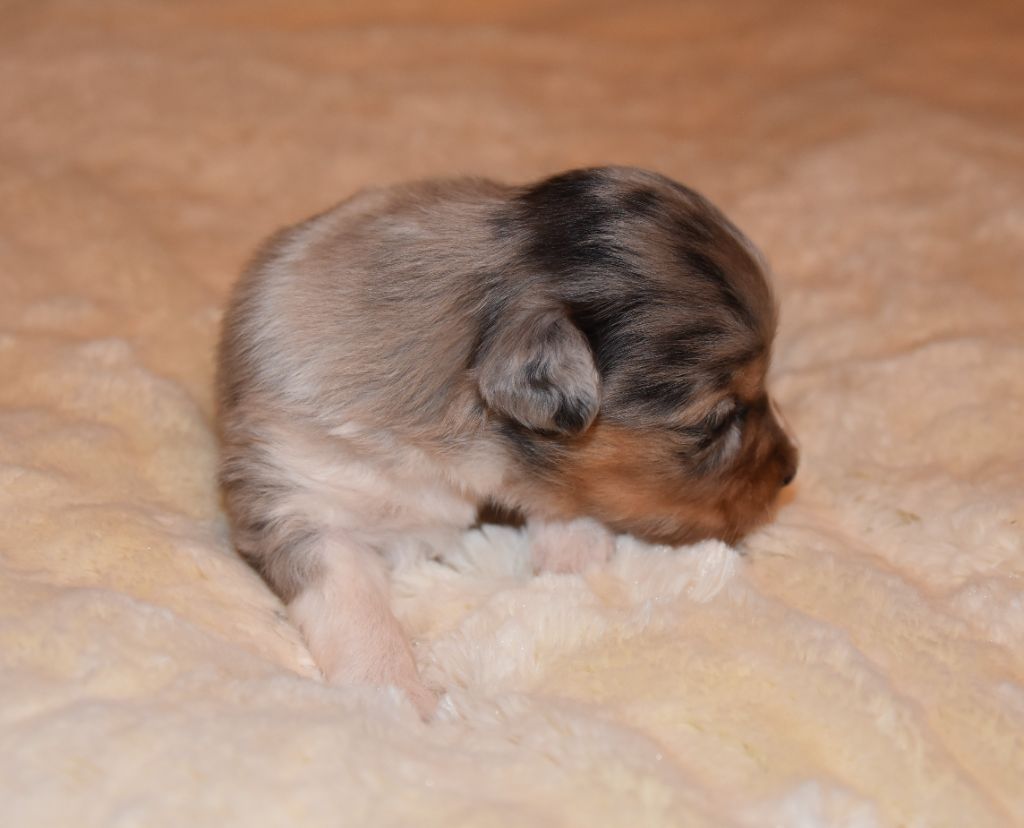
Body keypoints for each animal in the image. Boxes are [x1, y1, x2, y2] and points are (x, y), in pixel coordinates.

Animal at [216, 166, 798, 715]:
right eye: (716, 423)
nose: (792, 471)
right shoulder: (297, 499)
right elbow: (352, 603)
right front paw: (397, 691)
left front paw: (573, 548)